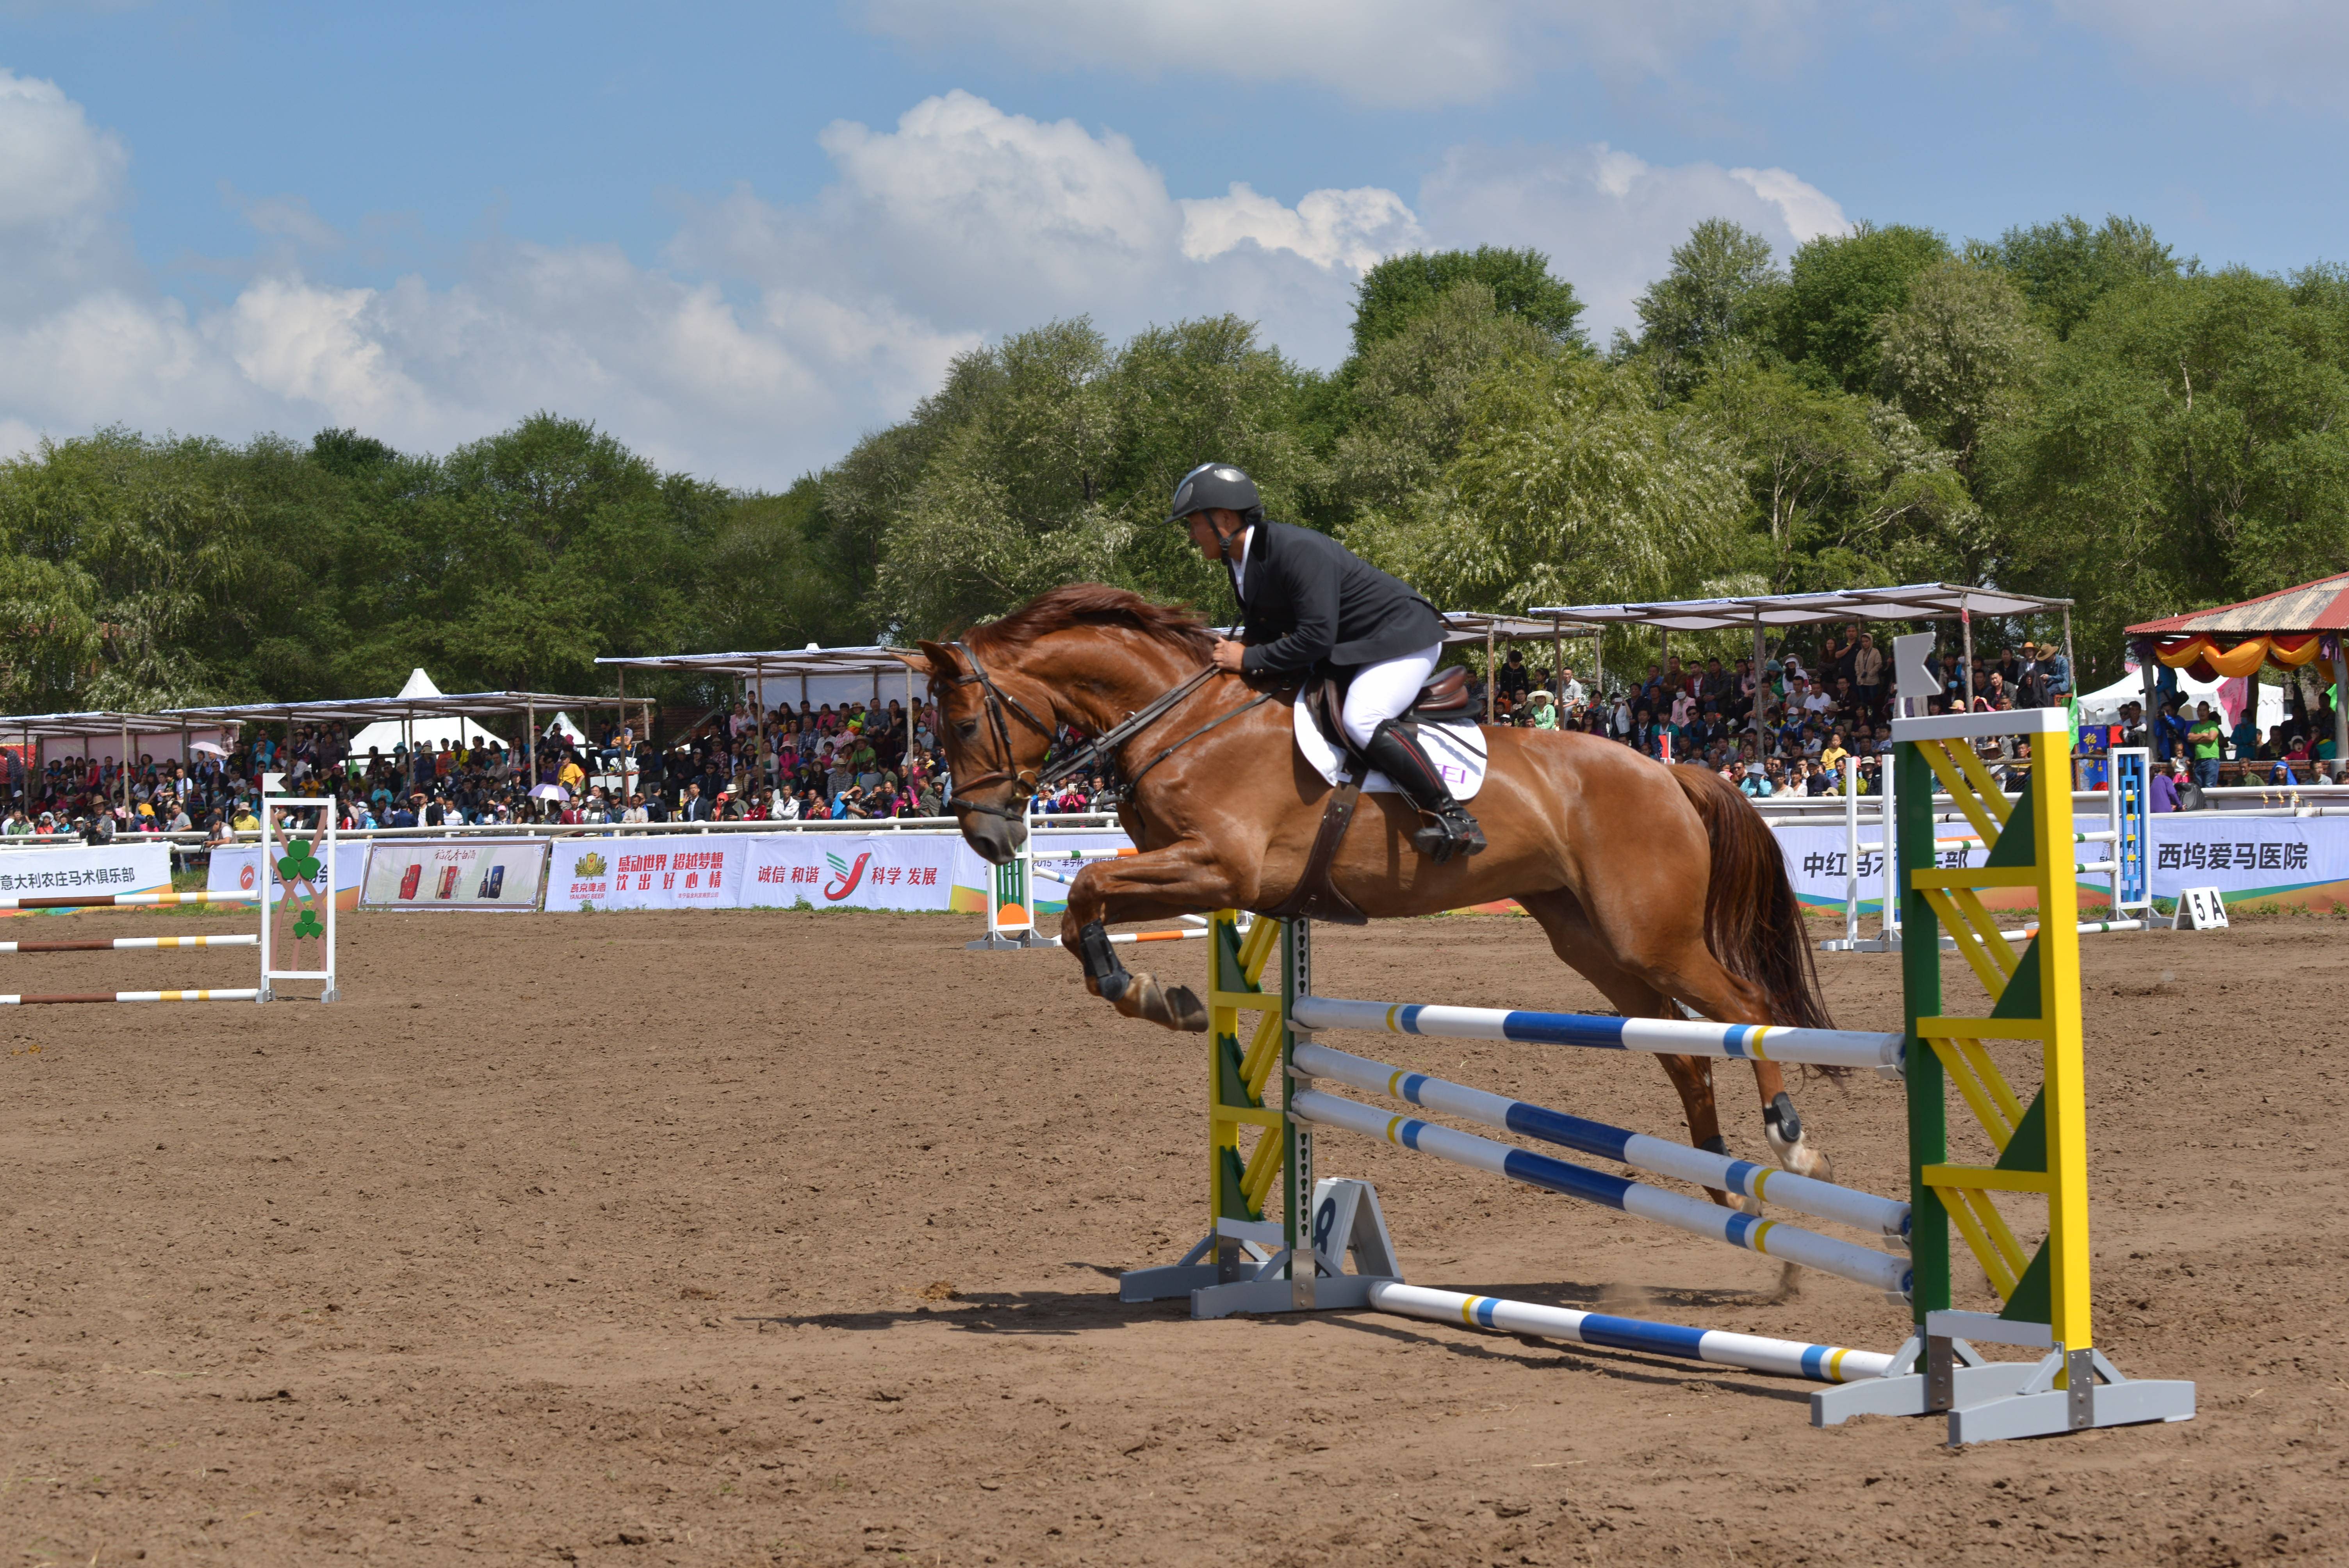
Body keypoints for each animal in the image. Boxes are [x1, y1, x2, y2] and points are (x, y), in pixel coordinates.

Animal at [907, 582, 1841, 1183]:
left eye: (963, 723)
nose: (987, 837)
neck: (1187, 719)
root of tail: (1667, 770)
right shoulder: (1197, 874)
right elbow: (1082, 906)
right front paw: (1153, 994)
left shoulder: (1220, 864)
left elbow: (1088, 886)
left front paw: (1144, 991)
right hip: (1590, 938)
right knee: (1681, 1050)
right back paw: (1713, 1169)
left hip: (1653, 934)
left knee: (1749, 1011)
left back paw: (1788, 1143)